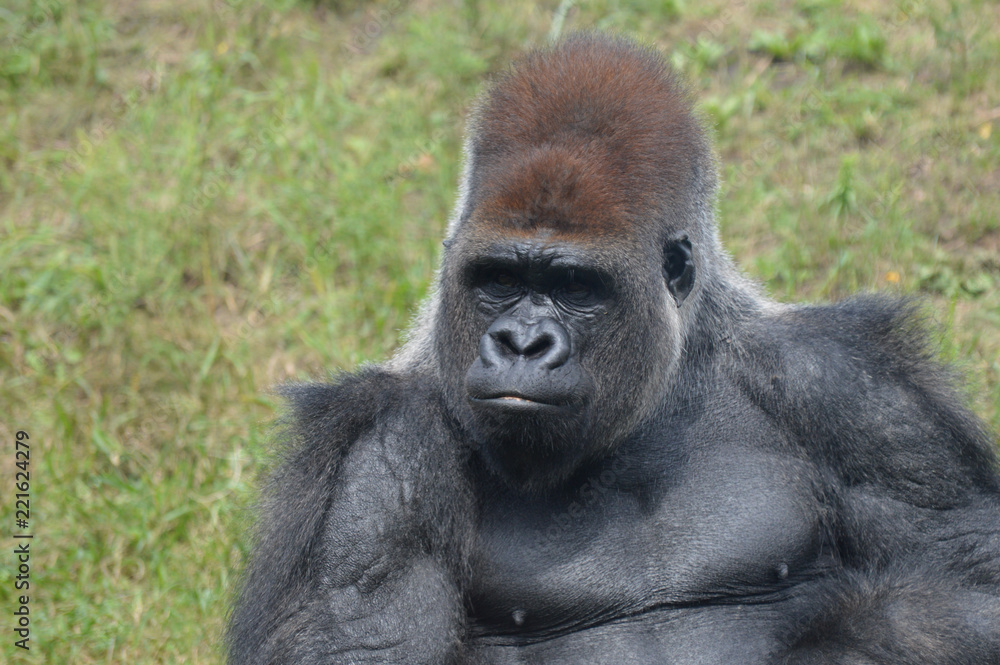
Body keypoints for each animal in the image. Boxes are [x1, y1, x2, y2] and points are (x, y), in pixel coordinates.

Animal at [227, 33, 1000, 660]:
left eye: (576, 286)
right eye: (498, 280)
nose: (522, 342)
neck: (653, 399)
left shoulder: (860, 396)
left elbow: (973, 576)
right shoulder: (377, 461)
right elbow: (360, 646)